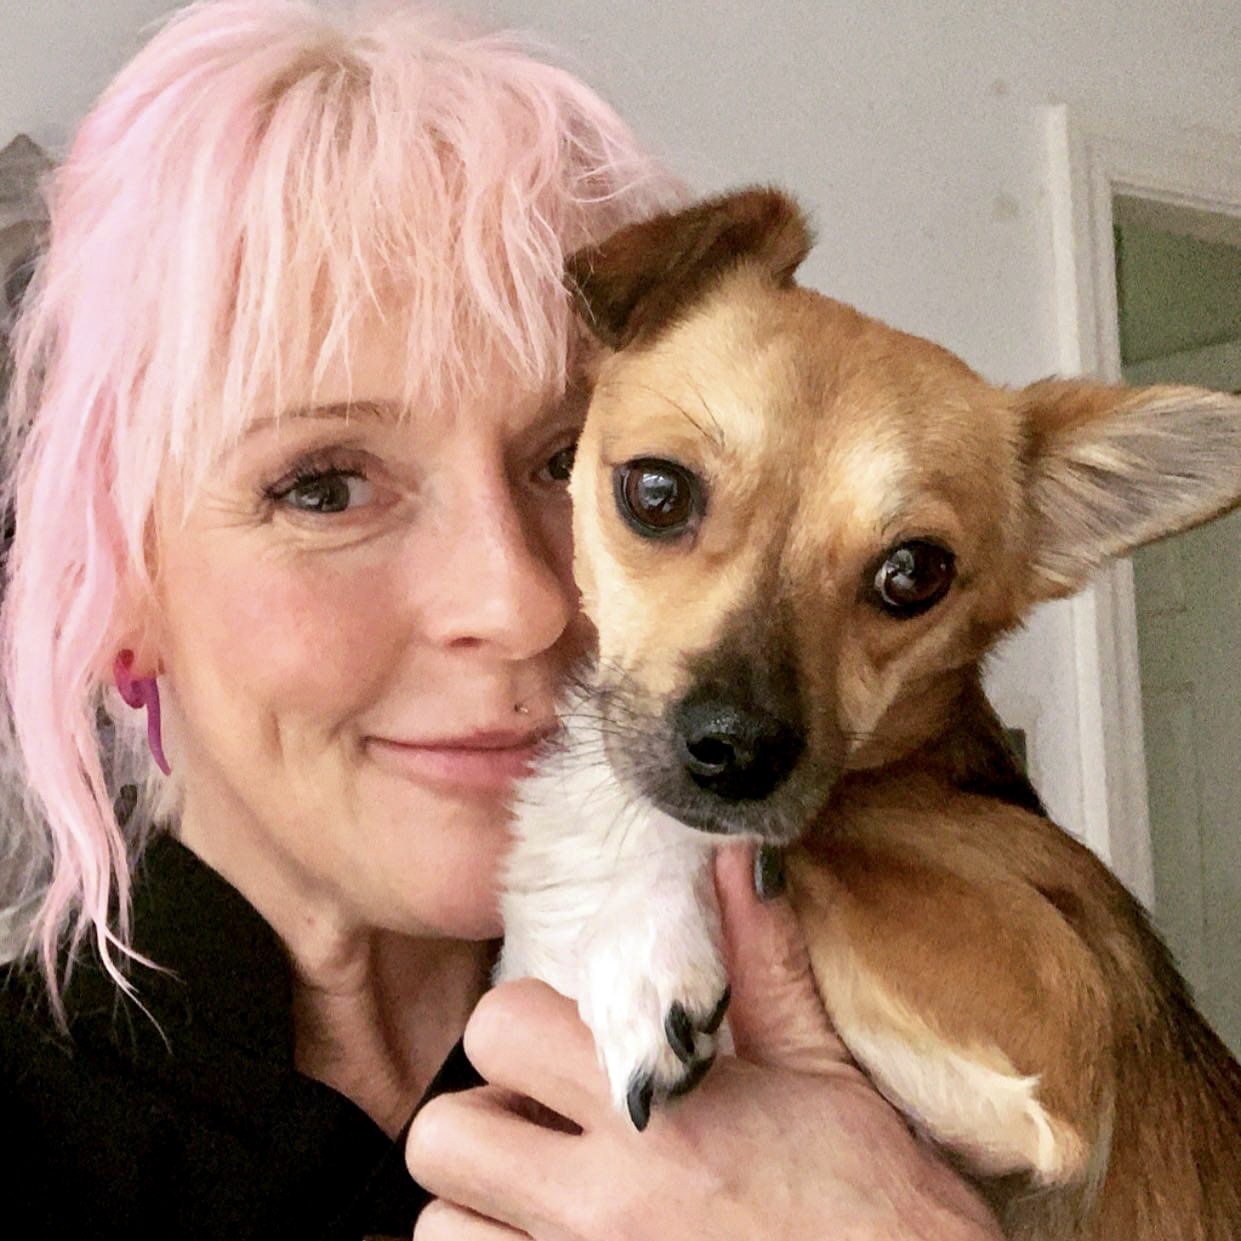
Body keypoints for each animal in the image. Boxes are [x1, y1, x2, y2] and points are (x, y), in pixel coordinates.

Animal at [499, 188, 1241, 1239]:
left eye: (913, 573)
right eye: (655, 491)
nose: (737, 750)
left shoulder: (1051, 1032)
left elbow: (792, 837)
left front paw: (645, 950)